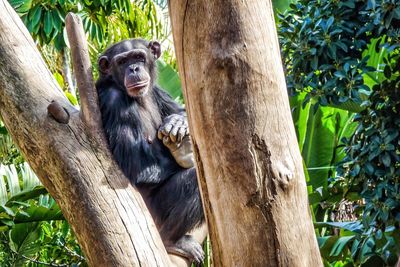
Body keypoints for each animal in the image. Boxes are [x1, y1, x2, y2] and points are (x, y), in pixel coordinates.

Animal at [95, 38, 205, 264]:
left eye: (138, 57)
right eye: (122, 62)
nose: (134, 68)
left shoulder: (157, 91)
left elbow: (180, 109)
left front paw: (178, 122)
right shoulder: (114, 100)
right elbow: (138, 167)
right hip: (155, 215)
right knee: (196, 181)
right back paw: (173, 240)